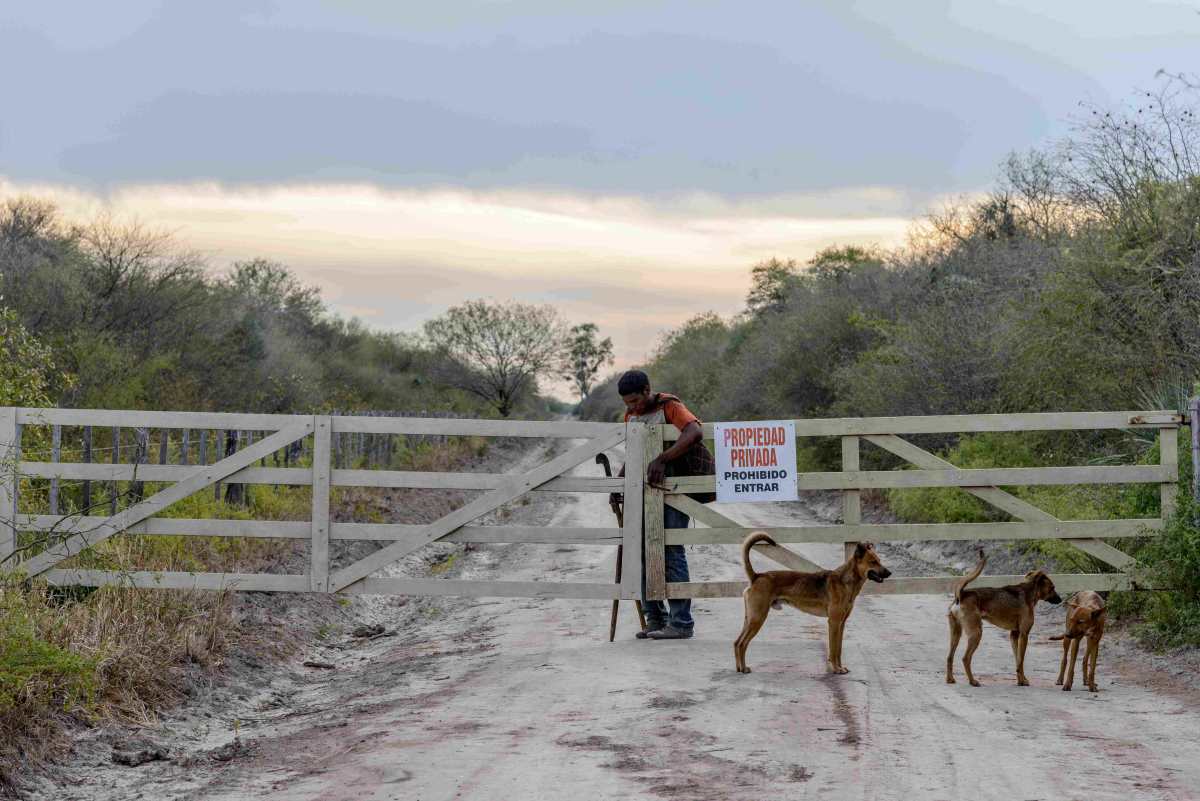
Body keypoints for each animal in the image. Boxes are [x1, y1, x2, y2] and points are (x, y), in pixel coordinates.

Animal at [729, 534, 892, 671]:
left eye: (880, 561)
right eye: (873, 562)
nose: (890, 573)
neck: (846, 581)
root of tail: (757, 576)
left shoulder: (841, 624)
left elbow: (838, 649)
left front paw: (840, 667)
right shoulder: (833, 623)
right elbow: (834, 650)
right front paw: (836, 669)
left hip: (750, 618)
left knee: (737, 642)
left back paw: (739, 668)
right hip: (758, 618)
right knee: (742, 643)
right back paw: (743, 669)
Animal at [945, 551, 1060, 690]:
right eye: (1052, 588)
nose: (1060, 600)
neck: (1029, 592)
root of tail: (961, 595)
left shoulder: (1014, 635)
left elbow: (1017, 660)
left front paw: (1021, 679)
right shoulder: (1024, 634)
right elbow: (1021, 661)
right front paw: (1022, 681)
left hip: (956, 633)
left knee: (949, 657)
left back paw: (950, 679)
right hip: (976, 633)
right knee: (965, 658)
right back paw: (973, 681)